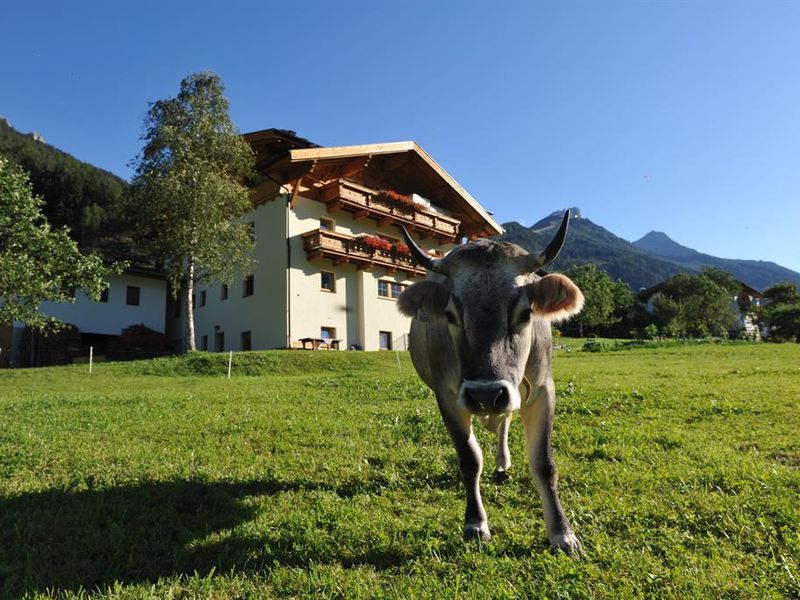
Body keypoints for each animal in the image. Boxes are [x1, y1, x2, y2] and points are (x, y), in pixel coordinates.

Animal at [396, 212, 584, 556]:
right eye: (450, 315)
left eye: (525, 312)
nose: (485, 393)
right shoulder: (448, 396)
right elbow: (470, 460)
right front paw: (475, 524)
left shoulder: (542, 390)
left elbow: (544, 464)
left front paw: (562, 533)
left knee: (504, 420)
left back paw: (502, 461)